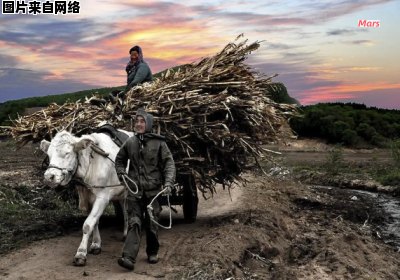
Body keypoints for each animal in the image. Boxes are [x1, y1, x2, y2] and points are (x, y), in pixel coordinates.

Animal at [40, 130, 132, 266]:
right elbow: (95, 222)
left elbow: (88, 224)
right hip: (122, 191)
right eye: (49, 154)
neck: (90, 164)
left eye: (67, 153)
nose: (48, 177)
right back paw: (125, 233)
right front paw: (96, 244)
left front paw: (81, 253)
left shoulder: (102, 197)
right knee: (125, 208)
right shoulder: (87, 198)